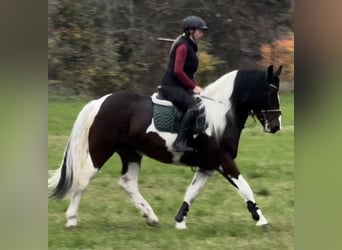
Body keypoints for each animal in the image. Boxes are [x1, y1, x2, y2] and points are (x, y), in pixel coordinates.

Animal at [48, 64, 284, 229]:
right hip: (100, 151)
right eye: (269, 92)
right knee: (82, 180)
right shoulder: (223, 161)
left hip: (131, 153)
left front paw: (180, 221)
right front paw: (261, 220)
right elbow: (245, 187)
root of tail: (100, 102)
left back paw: (150, 217)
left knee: (127, 183)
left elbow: (192, 192)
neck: (220, 114)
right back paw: (72, 220)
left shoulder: (207, 166)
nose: (275, 126)